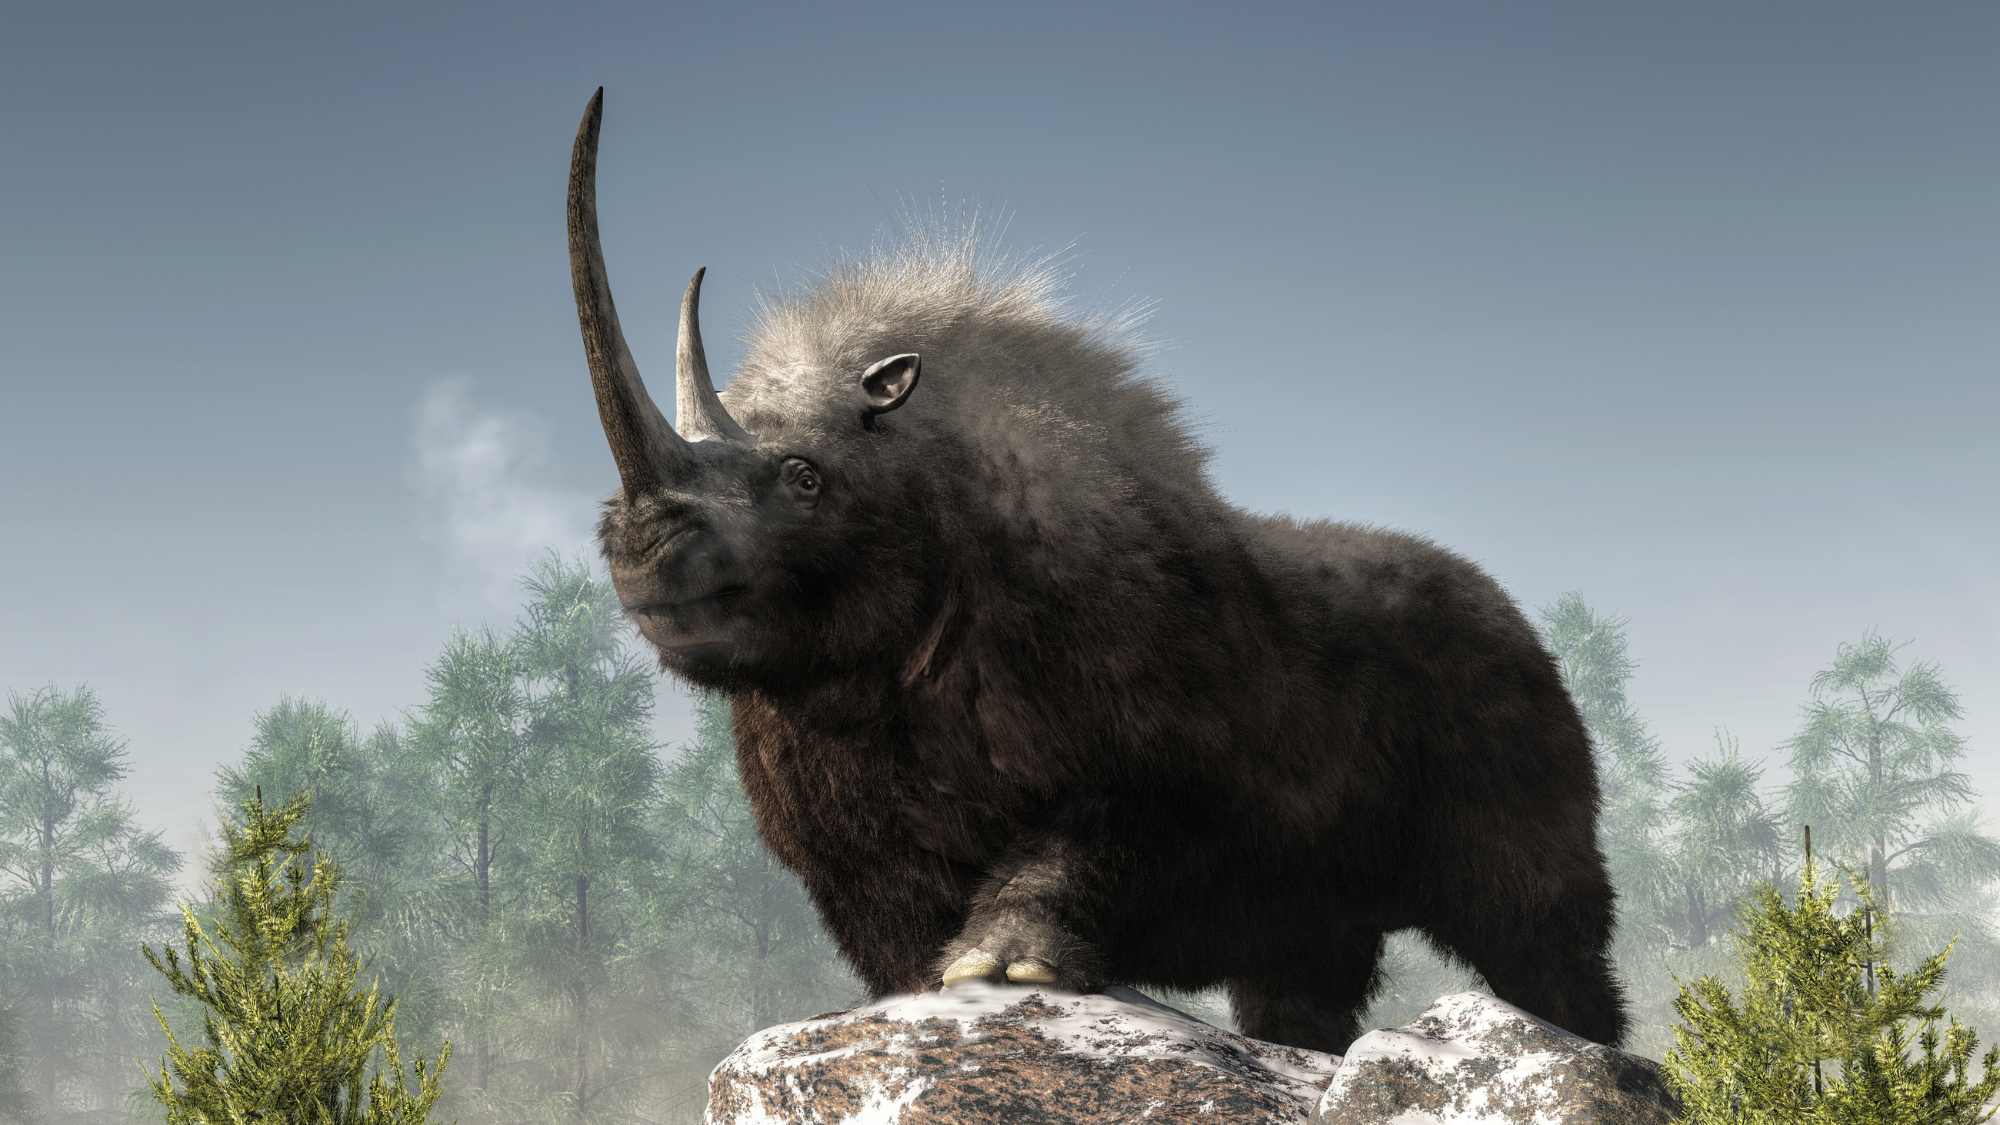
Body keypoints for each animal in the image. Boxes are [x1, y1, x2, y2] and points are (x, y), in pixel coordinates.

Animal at [565, 89, 1628, 1052]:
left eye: (803, 476)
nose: (642, 548)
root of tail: (1519, 616)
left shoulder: (1169, 772)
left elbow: (1076, 850)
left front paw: (1002, 968)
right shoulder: (854, 852)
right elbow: (904, 946)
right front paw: (928, 993)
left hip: (1513, 701)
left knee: (1537, 925)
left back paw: (1585, 1042)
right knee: (1307, 959)